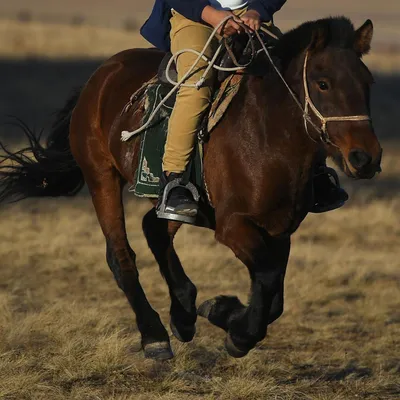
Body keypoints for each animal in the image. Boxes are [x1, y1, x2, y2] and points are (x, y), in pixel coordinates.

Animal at [0, 15, 382, 360]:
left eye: (368, 82)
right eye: (322, 83)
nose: (365, 157)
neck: (267, 134)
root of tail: (102, 75)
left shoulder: (279, 228)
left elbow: (273, 295)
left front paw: (221, 311)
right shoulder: (234, 226)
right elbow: (268, 279)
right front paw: (237, 331)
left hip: (175, 201)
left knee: (154, 228)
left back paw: (183, 313)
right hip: (101, 178)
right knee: (121, 256)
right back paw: (154, 336)